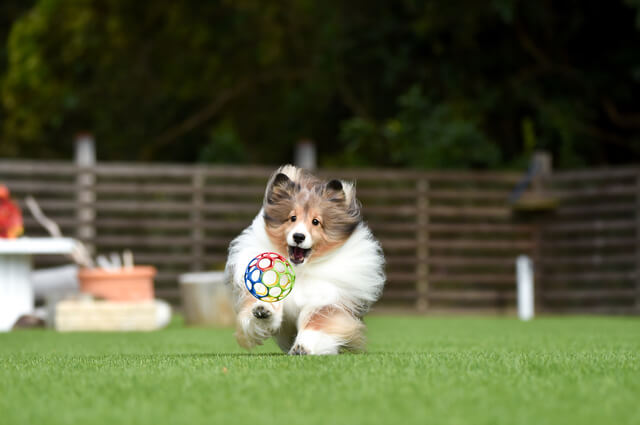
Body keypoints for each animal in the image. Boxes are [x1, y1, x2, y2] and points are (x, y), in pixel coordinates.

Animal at [225, 164, 384, 352]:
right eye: (292, 218)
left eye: (316, 221)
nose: (299, 236)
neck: (299, 270)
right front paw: (263, 310)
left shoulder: (329, 301)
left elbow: (317, 323)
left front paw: (303, 347)